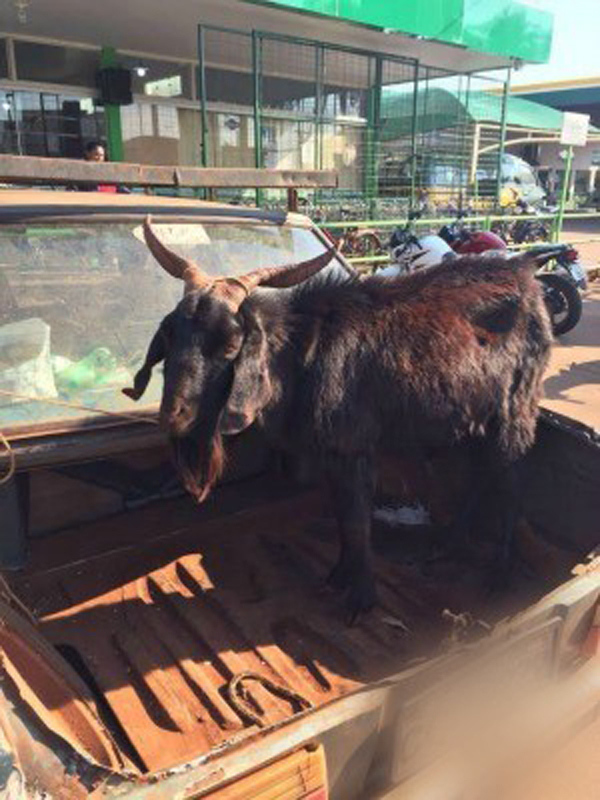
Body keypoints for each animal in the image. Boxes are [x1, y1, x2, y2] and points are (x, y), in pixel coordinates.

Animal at [125, 218, 553, 621]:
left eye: (231, 344)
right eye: (170, 335)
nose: (174, 417)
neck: (302, 355)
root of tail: (527, 276)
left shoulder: (354, 447)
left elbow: (358, 521)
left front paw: (361, 598)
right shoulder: (329, 453)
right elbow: (342, 515)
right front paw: (339, 576)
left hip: (515, 411)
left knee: (510, 482)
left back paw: (500, 573)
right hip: (473, 420)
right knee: (480, 474)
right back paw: (448, 543)